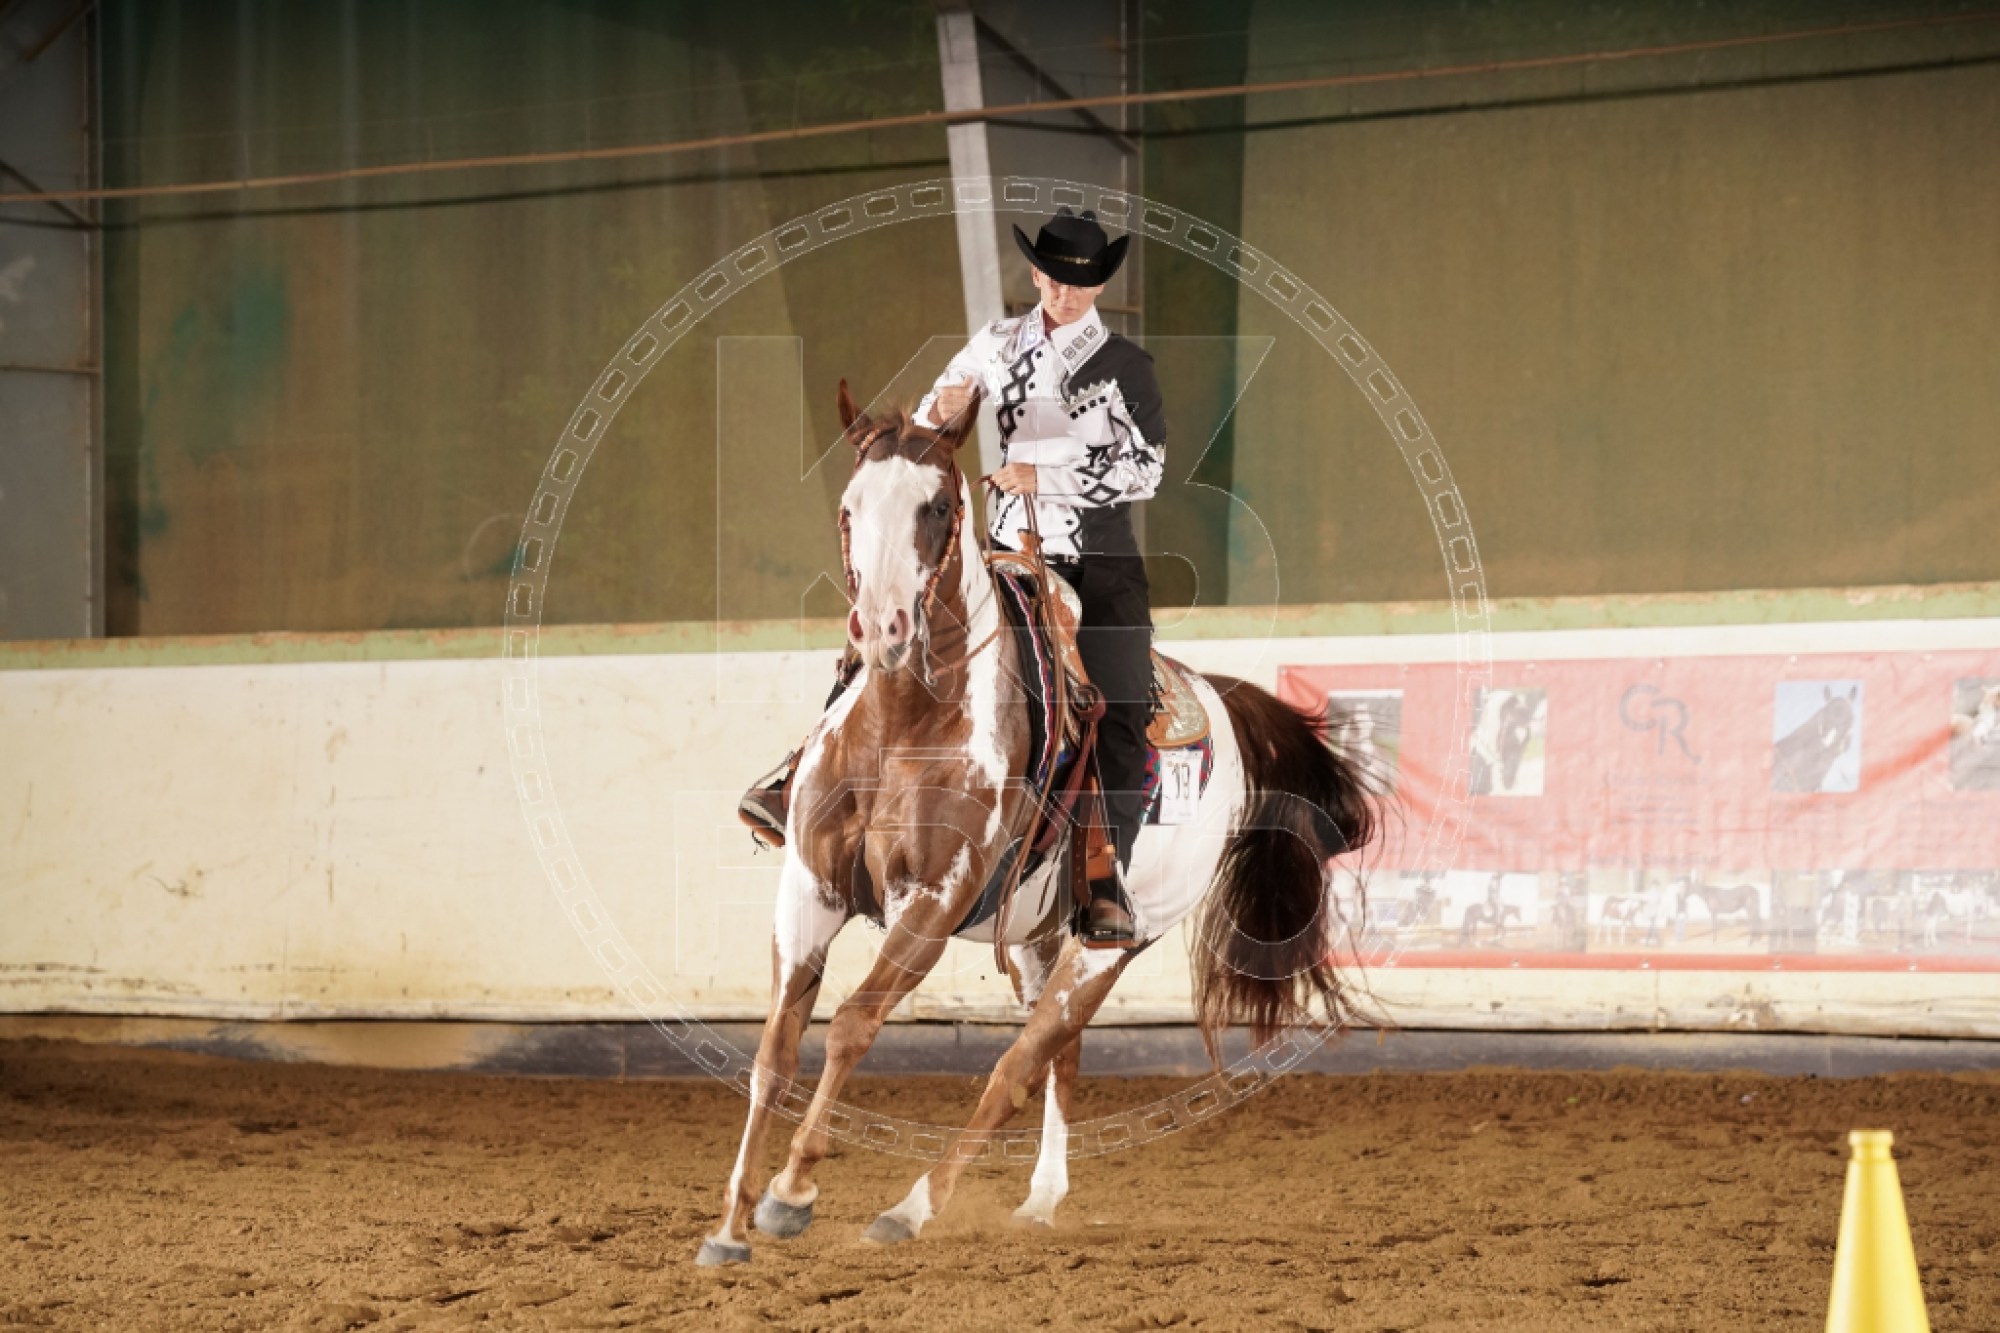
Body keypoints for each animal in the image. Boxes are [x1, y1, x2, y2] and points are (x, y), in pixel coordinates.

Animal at [697, 383, 1382, 1266]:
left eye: (937, 506)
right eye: (850, 507)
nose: (881, 630)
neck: (905, 723)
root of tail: (1222, 704)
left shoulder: (932, 904)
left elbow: (851, 1026)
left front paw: (791, 1191)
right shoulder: (810, 890)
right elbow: (774, 1052)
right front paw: (730, 1223)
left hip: (1111, 945)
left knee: (1017, 1070)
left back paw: (911, 1208)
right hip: (1037, 937)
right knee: (1058, 1058)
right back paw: (1038, 1199)